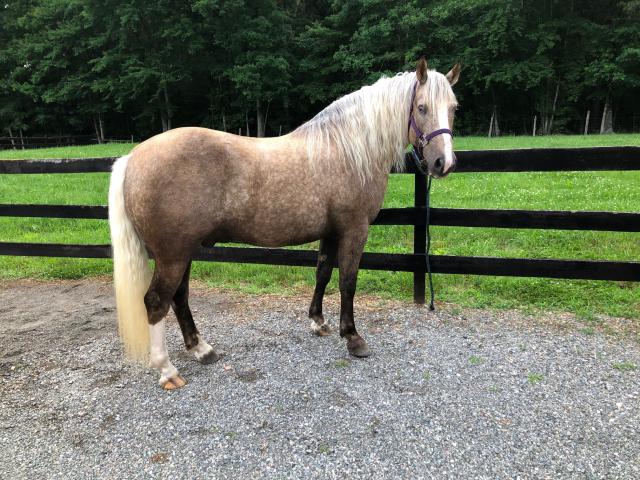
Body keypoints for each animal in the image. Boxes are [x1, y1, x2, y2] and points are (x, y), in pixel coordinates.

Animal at [109, 58, 460, 390]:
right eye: (422, 107)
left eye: (453, 108)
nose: (443, 163)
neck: (348, 149)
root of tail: (133, 157)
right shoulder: (354, 229)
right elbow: (348, 281)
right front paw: (353, 337)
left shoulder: (331, 232)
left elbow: (322, 273)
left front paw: (318, 322)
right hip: (173, 254)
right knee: (157, 301)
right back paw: (167, 370)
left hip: (182, 251)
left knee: (179, 296)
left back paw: (201, 349)